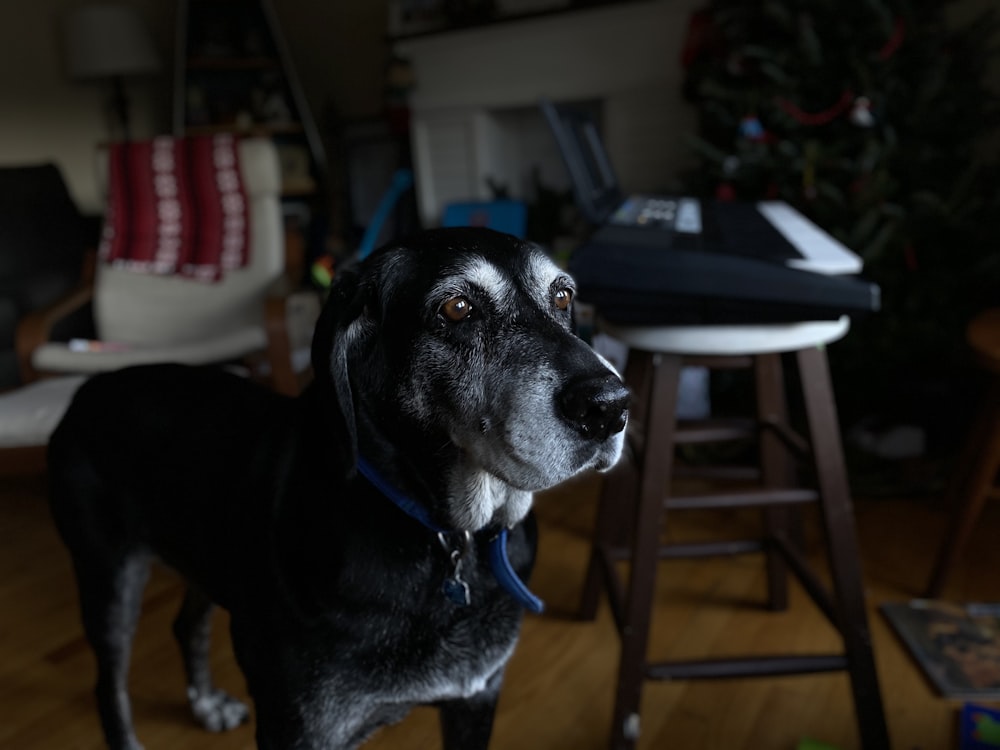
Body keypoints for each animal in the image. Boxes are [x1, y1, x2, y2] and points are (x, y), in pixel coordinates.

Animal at [47, 229, 628, 750]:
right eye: (458, 308)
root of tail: (88, 389)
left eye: (563, 296)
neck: (444, 537)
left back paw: (206, 702)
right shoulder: (299, 728)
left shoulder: (476, 699)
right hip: (109, 575)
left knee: (186, 624)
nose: (610, 406)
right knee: (108, 686)